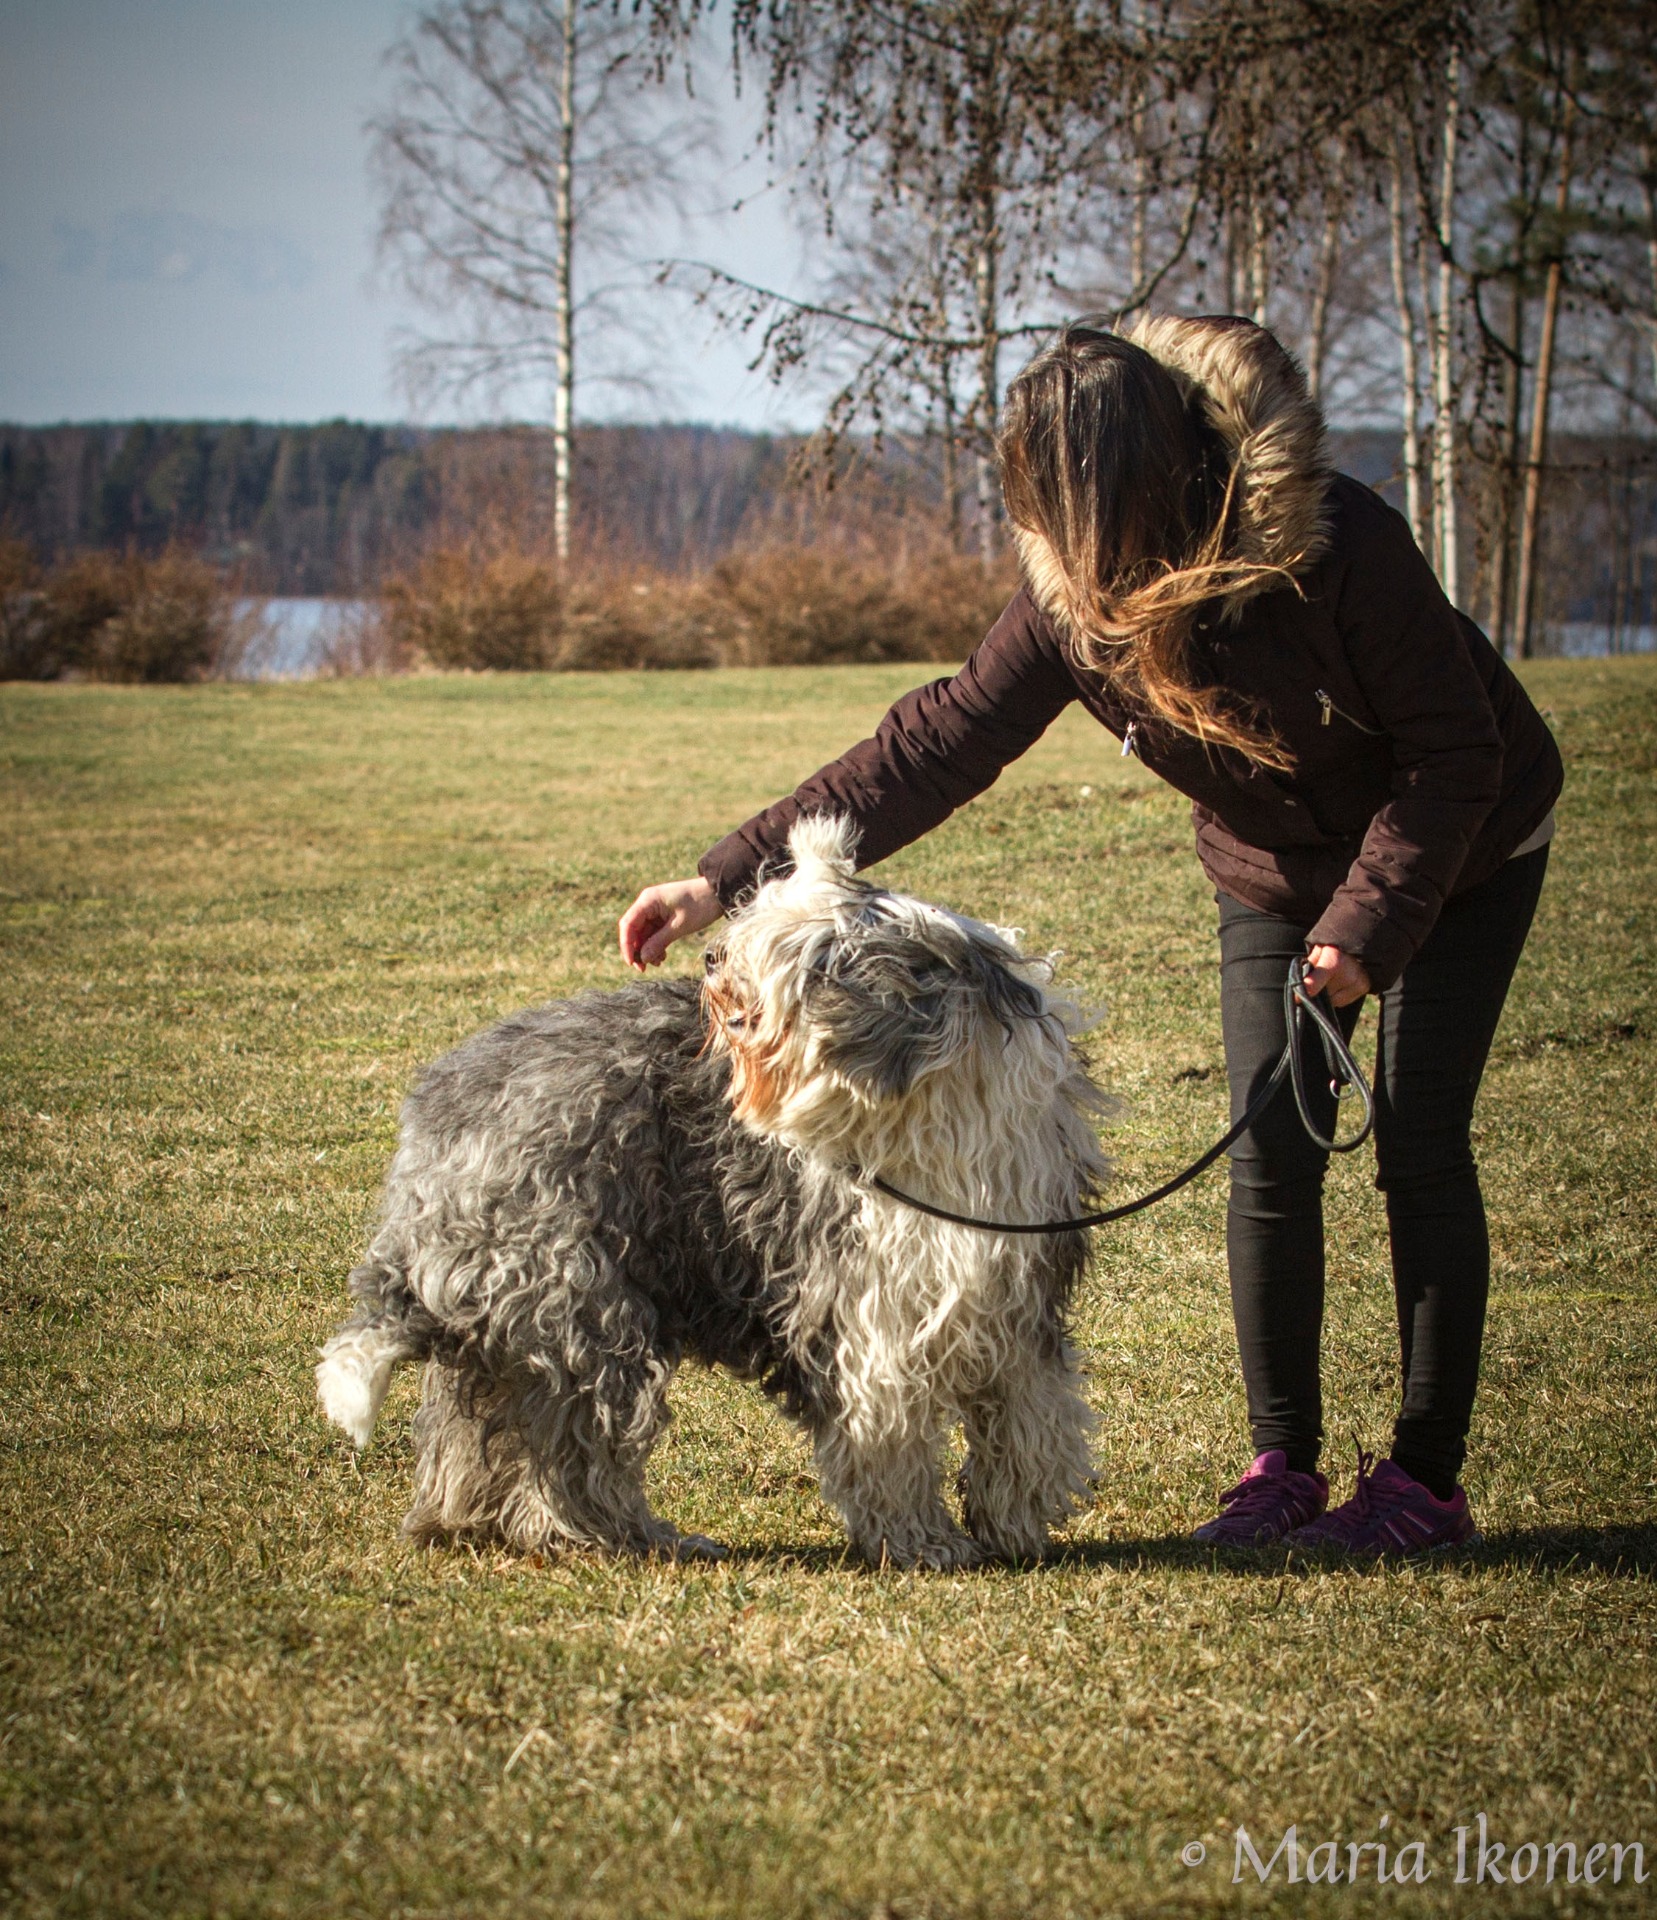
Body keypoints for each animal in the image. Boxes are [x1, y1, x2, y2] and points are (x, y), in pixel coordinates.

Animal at [316, 817, 1105, 1566]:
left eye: (786, 943)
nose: (711, 957)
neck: (921, 1102)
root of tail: (435, 1121)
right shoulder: (869, 1311)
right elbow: (890, 1438)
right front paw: (923, 1541)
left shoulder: (1010, 1289)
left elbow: (1027, 1415)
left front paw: (1014, 1523)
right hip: (580, 1300)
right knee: (566, 1442)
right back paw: (611, 1534)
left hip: (517, 1310)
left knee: (477, 1424)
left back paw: (469, 1522)